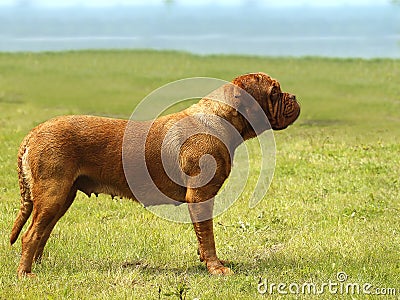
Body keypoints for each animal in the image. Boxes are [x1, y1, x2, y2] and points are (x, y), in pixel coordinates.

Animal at [10, 72, 300, 276]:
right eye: (275, 92)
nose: (294, 97)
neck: (223, 119)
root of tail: (33, 133)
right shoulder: (200, 196)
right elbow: (208, 236)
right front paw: (216, 268)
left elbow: (202, 236)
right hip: (53, 194)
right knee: (31, 234)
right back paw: (26, 273)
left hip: (61, 197)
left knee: (43, 231)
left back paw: (38, 266)